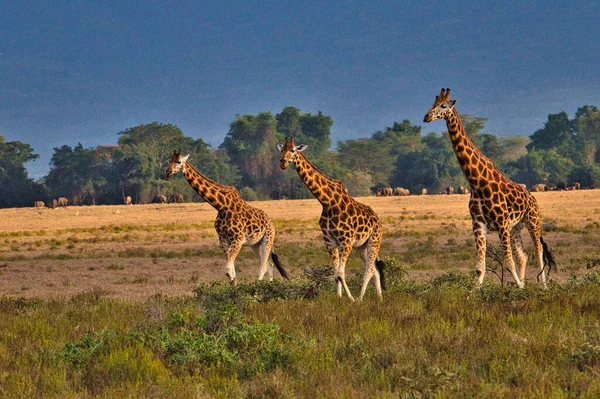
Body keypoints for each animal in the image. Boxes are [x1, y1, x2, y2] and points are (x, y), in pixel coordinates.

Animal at [163, 150, 288, 284]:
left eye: (178, 161)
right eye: (169, 160)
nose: (168, 171)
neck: (221, 206)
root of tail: (272, 223)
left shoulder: (238, 239)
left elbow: (228, 269)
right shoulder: (223, 239)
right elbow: (231, 271)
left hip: (267, 239)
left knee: (264, 266)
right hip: (255, 244)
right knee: (269, 265)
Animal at [276, 137, 384, 300]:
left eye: (293, 150)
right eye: (282, 149)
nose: (282, 162)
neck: (327, 203)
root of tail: (378, 221)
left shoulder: (347, 240)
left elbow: (340, 274)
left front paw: (351, 300)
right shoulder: (330, 241)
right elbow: (336, 275)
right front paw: (339, 298)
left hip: (374, 240)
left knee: (370, 270)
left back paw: (360, 298)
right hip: (361, 246)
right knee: (375, 270)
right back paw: (379, 299)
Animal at [424, 88, 556, 288]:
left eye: (444, 105)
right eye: (433, 103)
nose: (427, 117)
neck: (476, 182)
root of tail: (532, 197)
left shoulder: (501, 223)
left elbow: (508, 262)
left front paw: (518, 288)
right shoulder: (478, 225)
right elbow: (480, 267)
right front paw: (475, 293)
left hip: (532, 220)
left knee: (538, 249)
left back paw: (543, 286)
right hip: (515, 228)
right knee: (523, 256)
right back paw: (526, 284)